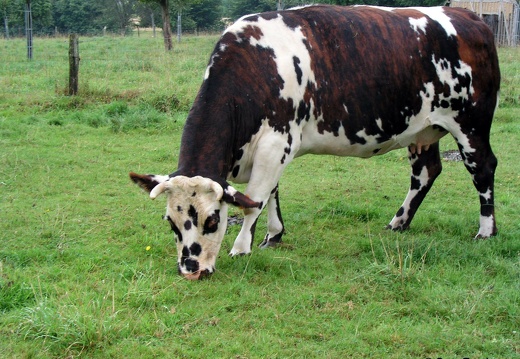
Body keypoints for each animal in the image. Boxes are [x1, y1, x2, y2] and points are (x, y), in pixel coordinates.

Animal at [129, 4, 500, 282]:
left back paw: (486, 231)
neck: (254, 68)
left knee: (482, 167)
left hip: (471, 123)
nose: (191, 270)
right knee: (426, 171)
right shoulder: (272, 150)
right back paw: (398, 223)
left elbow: (256, 200)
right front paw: (273, 235)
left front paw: (241, 248)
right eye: (171, 222)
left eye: (212, 220)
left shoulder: (275, 143)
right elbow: (270, 194)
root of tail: (468, 16)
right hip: (422, 130)